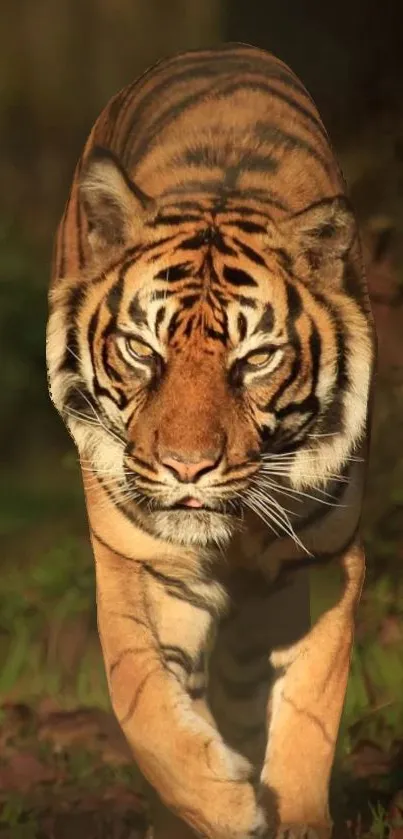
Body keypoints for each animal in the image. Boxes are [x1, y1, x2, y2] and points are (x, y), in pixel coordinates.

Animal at [45, 44, 378, 839]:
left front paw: (293, 814)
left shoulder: (323, 561)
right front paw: (223, 801)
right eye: (141, 350)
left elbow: (309, 710)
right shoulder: (139, 562)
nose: (187, 468)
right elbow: (143, 698)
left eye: (254, 360)